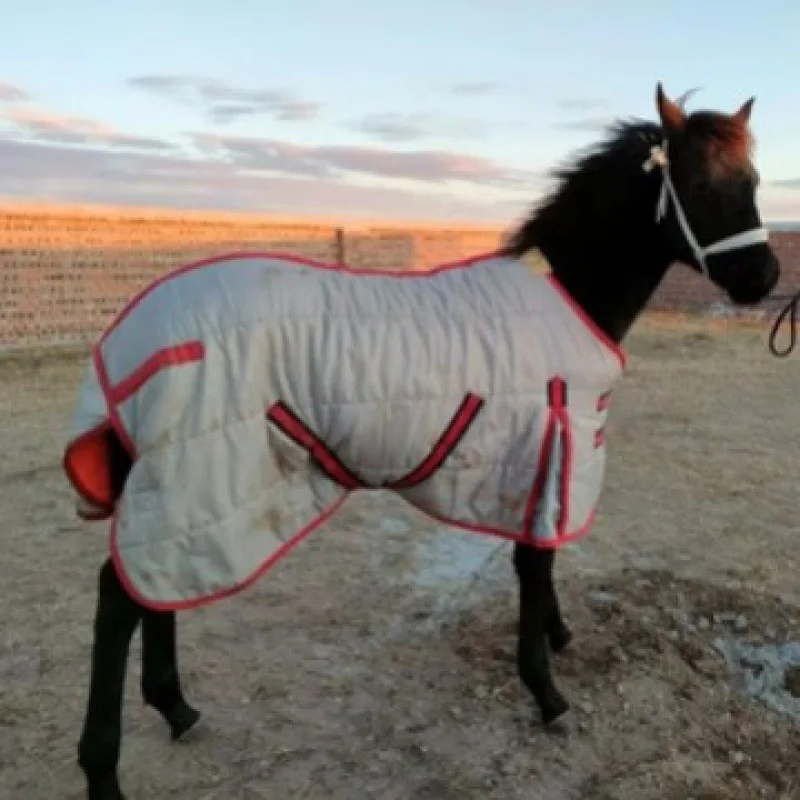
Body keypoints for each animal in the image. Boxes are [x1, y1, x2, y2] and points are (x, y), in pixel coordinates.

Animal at [63, 83, 780, 800]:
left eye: (751, 180)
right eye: (699, 184)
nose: (765, 277)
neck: (564, 298)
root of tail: (130, 336)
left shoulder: (535, 461)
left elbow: (539, 557)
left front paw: (556, 636)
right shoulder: (548, 448)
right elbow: (535, 563)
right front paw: (546, 692)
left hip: (181, 484)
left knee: (155, 586)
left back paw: (175, 707)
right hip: (197, 478)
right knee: (118, 597)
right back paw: (105, 768)